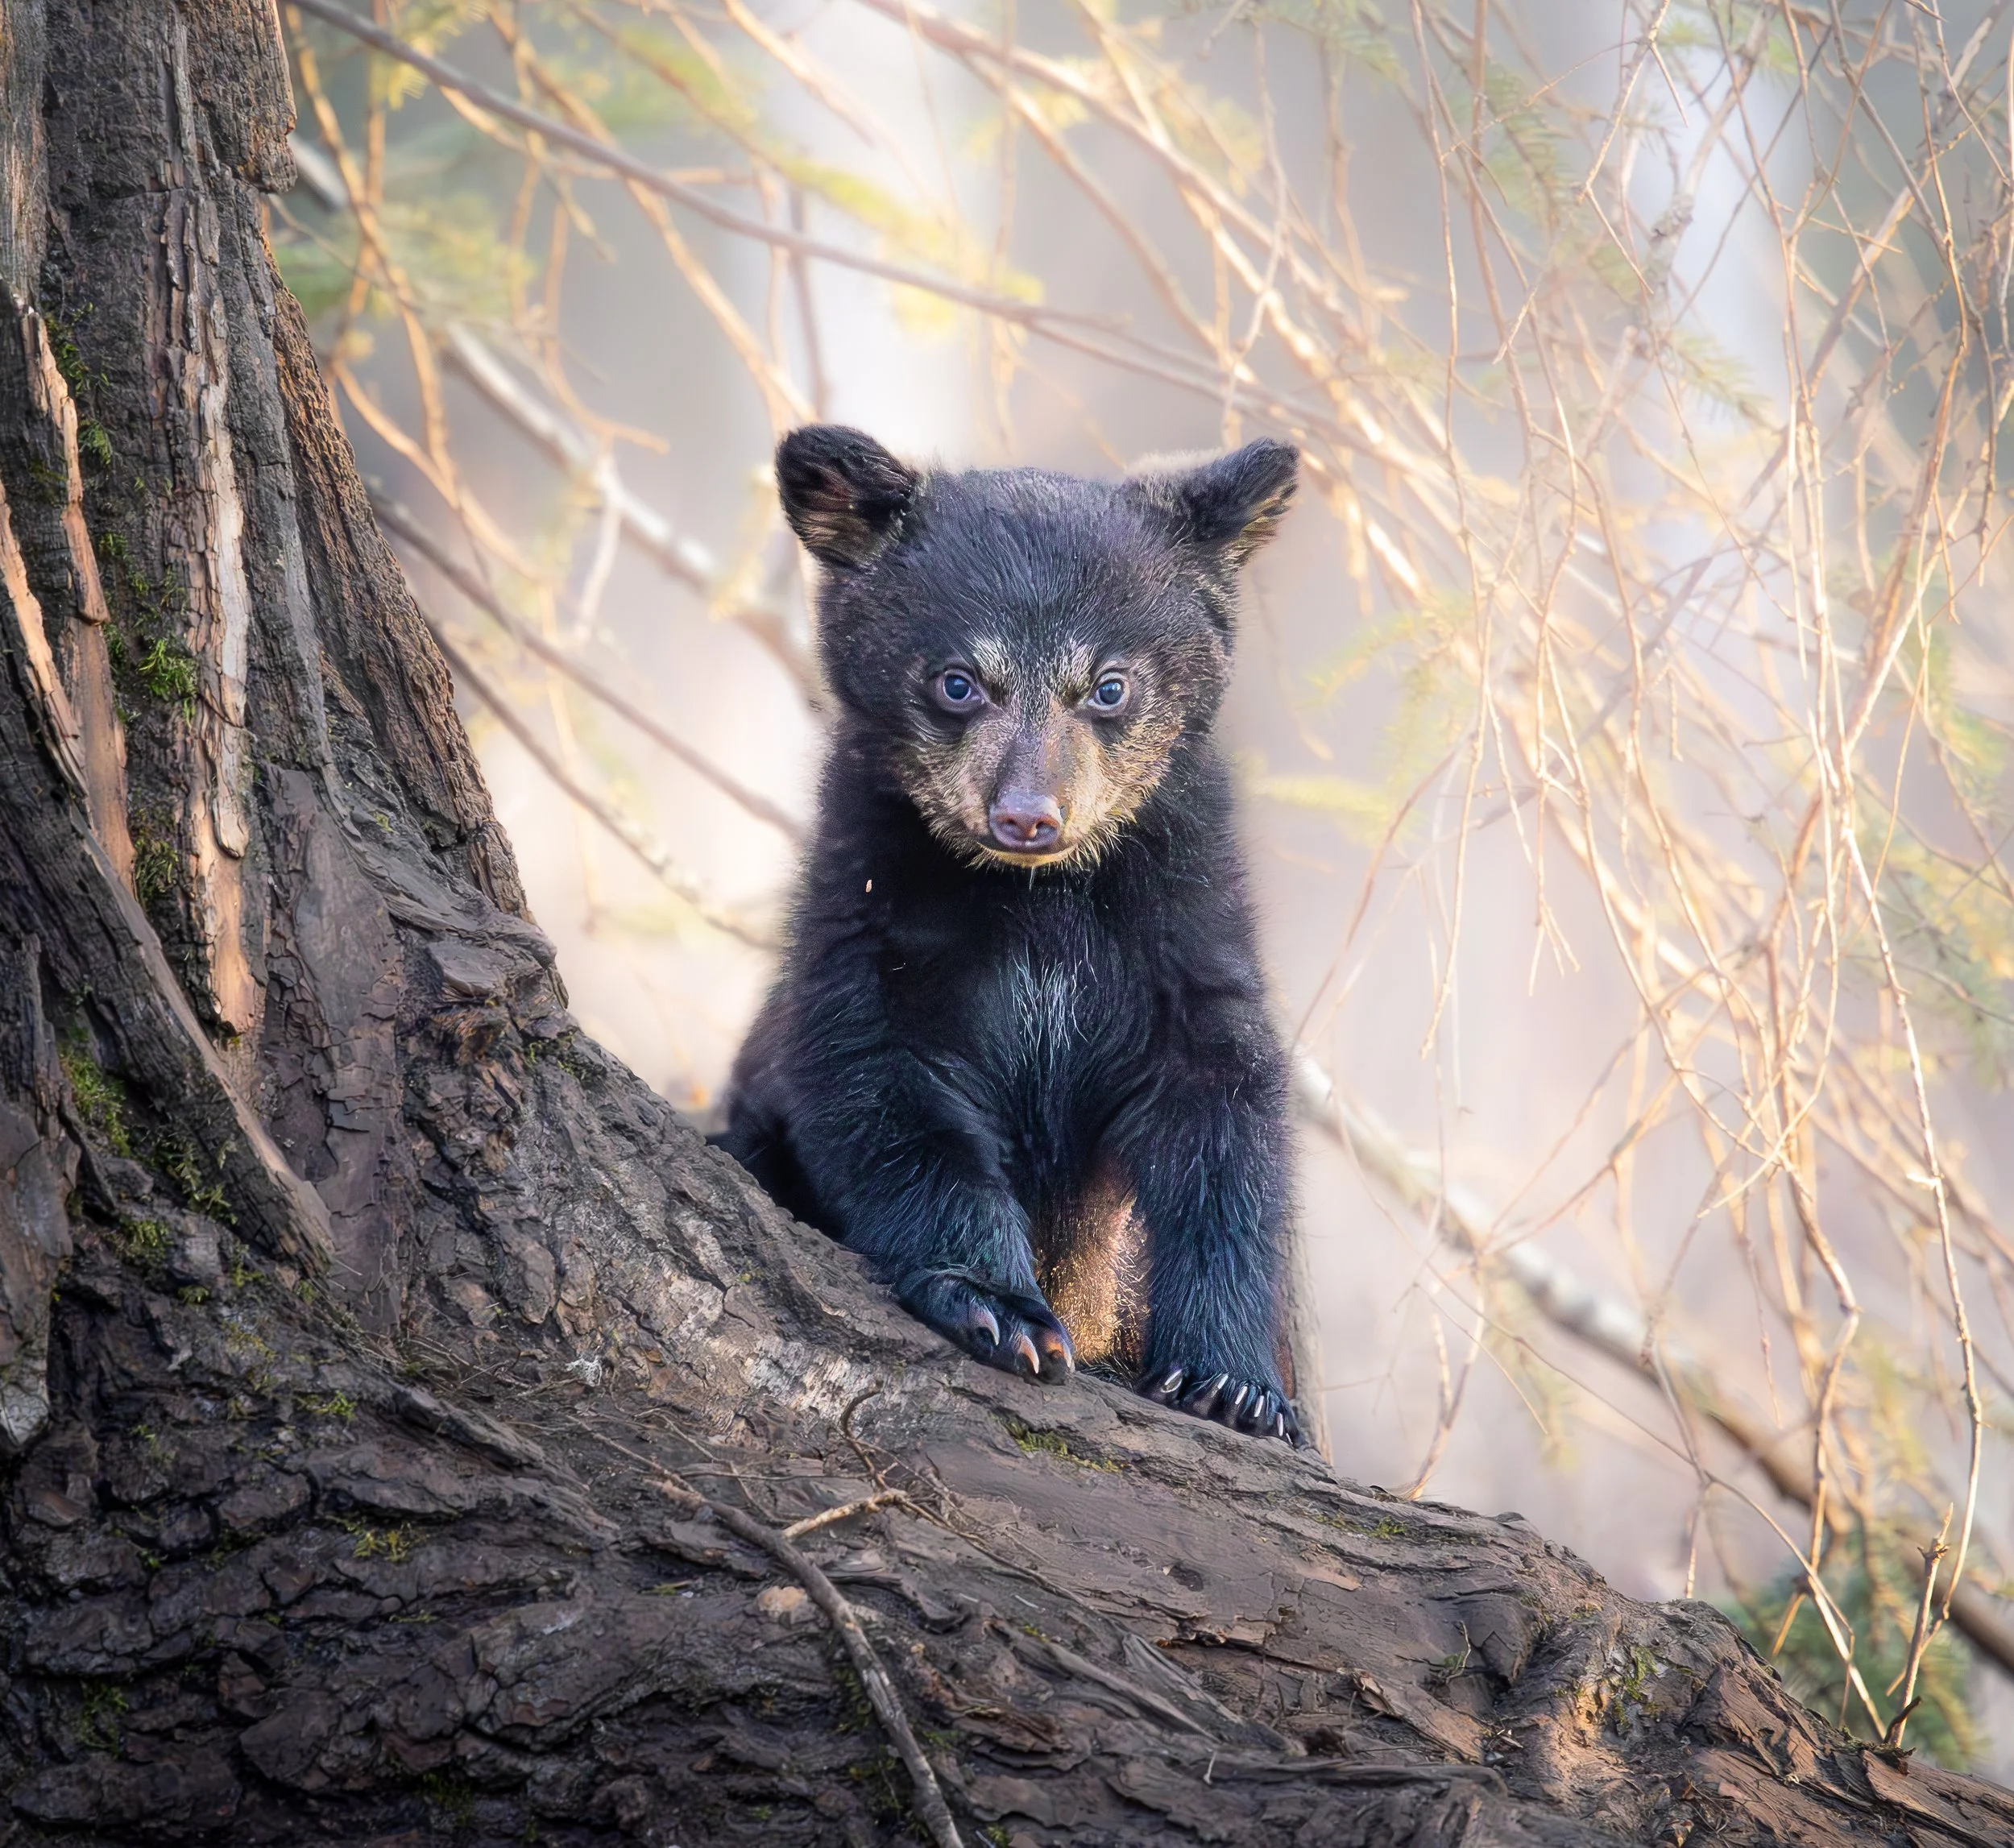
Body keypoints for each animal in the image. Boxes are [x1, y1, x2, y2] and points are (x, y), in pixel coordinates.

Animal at [716, 425, 1302, 1443]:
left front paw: (1234, 1384)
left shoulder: (1183, 930)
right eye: (958, 682)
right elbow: (880, 1083)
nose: (1027, 815)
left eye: (1108, 685)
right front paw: (1001, 1307)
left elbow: (1223, 1117)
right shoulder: (870, 910)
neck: (1038, 898)